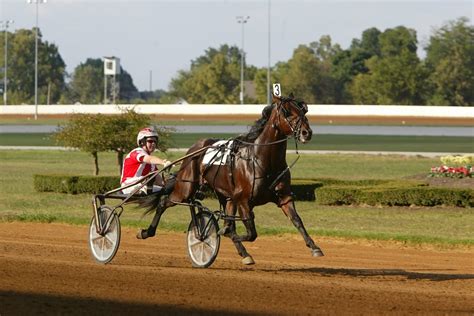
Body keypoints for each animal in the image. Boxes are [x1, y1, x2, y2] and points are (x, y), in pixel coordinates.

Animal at [141, 93, 324, 264]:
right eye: (287, 111)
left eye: (303, 109)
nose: (307, 132)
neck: (261, 159)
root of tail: (194, 148)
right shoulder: (243, 200)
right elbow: (250, 233)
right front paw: (220, 235)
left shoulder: (284, 197)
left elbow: (297, 220)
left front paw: (314, 247)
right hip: (185, 188)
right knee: (164, 202)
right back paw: (147, 232)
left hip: (227, 197)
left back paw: (244, 254)